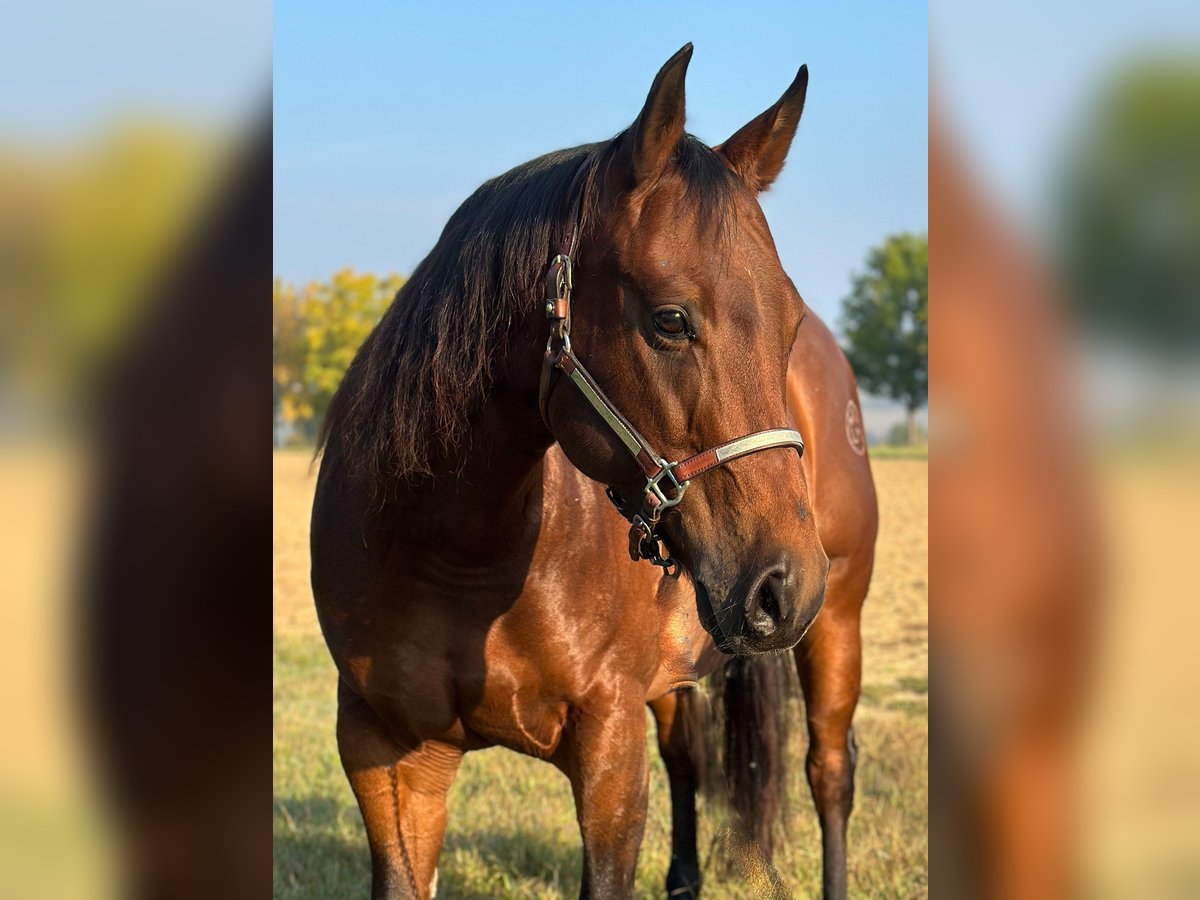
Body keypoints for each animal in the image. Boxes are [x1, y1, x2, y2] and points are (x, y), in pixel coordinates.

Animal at [311, 43, 877, 899]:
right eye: (670, 319)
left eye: (788, 320)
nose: (784, 583)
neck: (456, 552)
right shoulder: (387, 753)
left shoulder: (609, 751)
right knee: (690, 757)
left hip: (838, 622)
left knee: (830, 775)